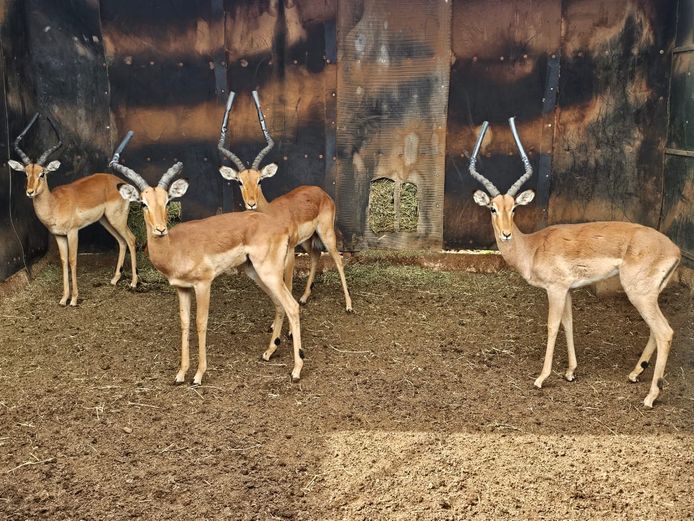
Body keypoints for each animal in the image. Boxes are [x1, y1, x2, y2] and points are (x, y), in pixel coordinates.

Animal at [8, 113, 137, 306]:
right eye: (26, 173)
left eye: (42, 173)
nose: (30, 192)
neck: (54, 204)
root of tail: (120, 182)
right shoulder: (59, 236)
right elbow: (63, 261)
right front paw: (63, 298)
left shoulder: (73, 232)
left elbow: (73, 260)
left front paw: (74, 299)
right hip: (105, 220)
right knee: (121, 241)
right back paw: (115, 279)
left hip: (117, 219)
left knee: (131, 239)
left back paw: (134, 283)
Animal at [110, 132, 305, 384]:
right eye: (143, 203)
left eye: (167, 200)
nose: (161, 229)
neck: (175, 247)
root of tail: (279, 226)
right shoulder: (182, 288)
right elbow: (184, 324)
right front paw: (180, 374)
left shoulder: (203, 284)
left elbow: (200, 323)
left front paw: (199, 374)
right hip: (255, 272)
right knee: (279, 304)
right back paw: (269, 352)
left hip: (268, 272)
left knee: (292, 305)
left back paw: (296, 370)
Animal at [217, 91, 352, 314]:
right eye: (239, 181)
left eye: (260, 180)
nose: (251, 203)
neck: (272, 214)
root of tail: (321, 191)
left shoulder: (288, 253)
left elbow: (286, 283)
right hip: (306, 240)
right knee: (315, 256)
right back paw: (304, 298)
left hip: (325, 234)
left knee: (337, 260)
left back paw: (349, 306)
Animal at [468, 117, 681, 408]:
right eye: (493, 208)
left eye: (514, 208)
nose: (506, 233)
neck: (532, 247)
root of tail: (676, 249)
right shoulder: (568, 290)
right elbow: (568, 324)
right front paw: (570, 372)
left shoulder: (556, 289)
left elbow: (552, 326)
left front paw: (542, 378)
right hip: (649, 295)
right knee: (655, 331)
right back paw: (635, 374)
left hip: (639, 293)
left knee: (665, 332)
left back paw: (650, 396)